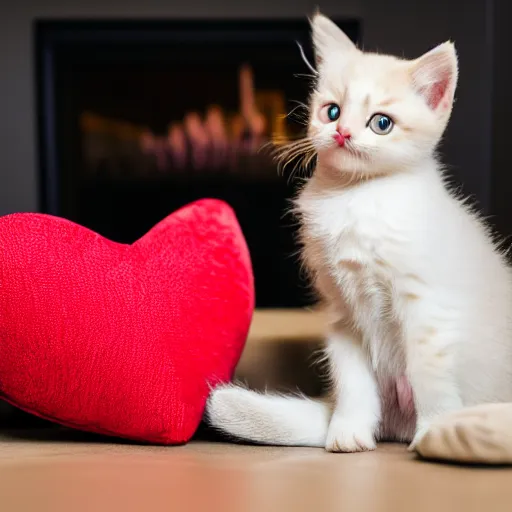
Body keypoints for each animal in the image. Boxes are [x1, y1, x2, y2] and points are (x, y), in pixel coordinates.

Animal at [204, 13, 512, 452]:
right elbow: (353, 381)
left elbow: (429, 375)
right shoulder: (342, 315)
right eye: (331, 112)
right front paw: (347, 431)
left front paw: (434, 429)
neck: (354, 199)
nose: (342, 132)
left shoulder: (426, 308)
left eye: (381, 123)